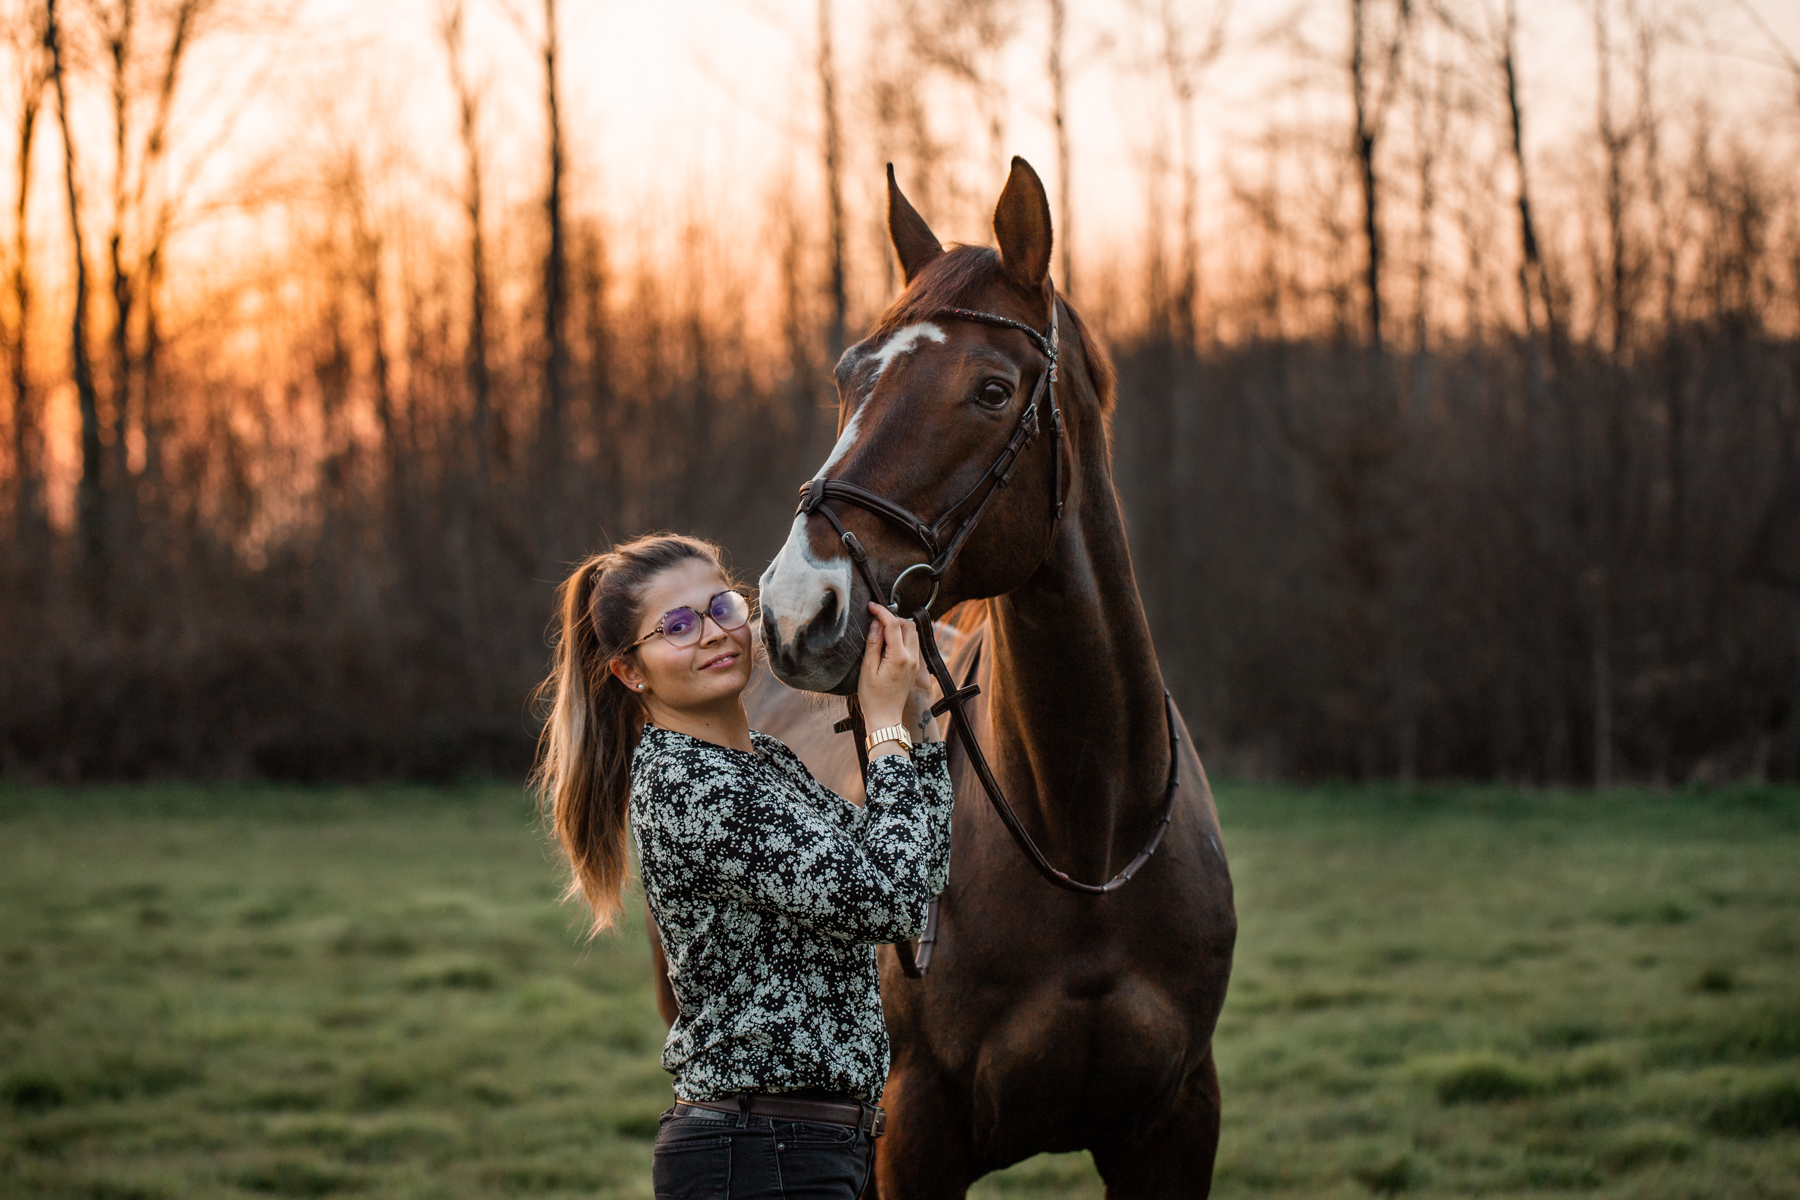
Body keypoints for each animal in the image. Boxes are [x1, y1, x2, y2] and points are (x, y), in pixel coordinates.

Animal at [662, 159, 1238, 1200]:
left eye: (993, 389)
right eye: (848, 378)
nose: (795, 610)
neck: (1086, 837)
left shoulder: (1176, 1123)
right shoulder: (914, 1131)